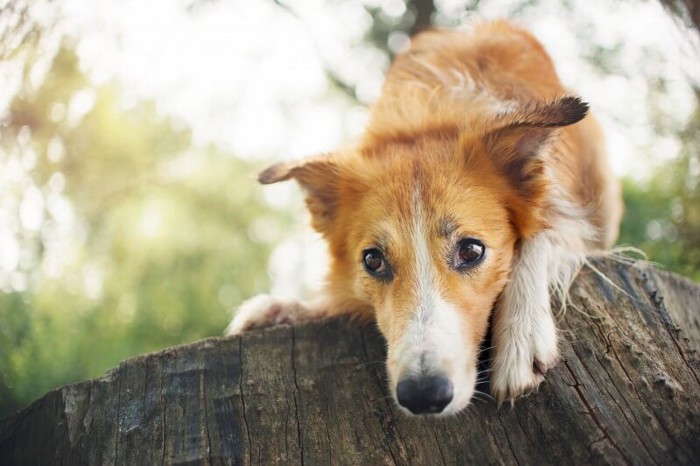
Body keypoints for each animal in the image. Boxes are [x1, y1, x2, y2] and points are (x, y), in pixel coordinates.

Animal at [226, 20, 624, 416]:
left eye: (471, 251)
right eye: (373, 260)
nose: (423, 396)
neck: (429, 121)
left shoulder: (566, 209)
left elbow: (542, 235)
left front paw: (521, 335)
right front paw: (288, 308)